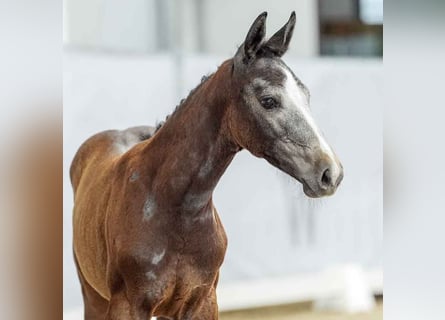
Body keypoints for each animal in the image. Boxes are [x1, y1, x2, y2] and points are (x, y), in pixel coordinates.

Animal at [70, 11, 344, 318]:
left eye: (306, 96)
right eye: (268, 100)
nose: (330, 173)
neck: (173, 208)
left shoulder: (203, 301)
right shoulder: (127, 306)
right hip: (93, 297)